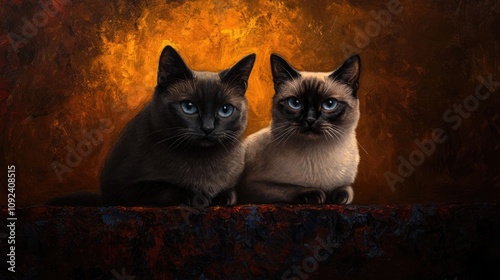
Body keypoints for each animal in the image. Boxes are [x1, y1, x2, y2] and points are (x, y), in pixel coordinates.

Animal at [237, 53, 360, 205]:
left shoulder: (346, 183)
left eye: (330, 104)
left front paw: (337, 197)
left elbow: (346, 189)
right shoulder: (253, 186)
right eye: (295, 103)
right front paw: (316, 194)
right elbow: (289, 189)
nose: (310, 120)